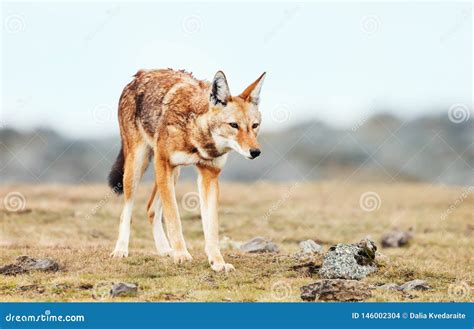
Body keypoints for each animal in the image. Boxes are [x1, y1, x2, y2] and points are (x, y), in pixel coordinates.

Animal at [109, 68, 268, 270]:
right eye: (234, 125)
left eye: (255, 126)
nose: (255, 152)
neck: (196, 134)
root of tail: (139, 75)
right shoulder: (163, 164)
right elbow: (174, 218)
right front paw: (182, 255)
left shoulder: (209, 175)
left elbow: (211, 228)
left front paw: (217, 262)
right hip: (138, 165)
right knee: (127, 211)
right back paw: (121, 250)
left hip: (173, 174)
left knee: (151, 209)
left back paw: (165, 250)